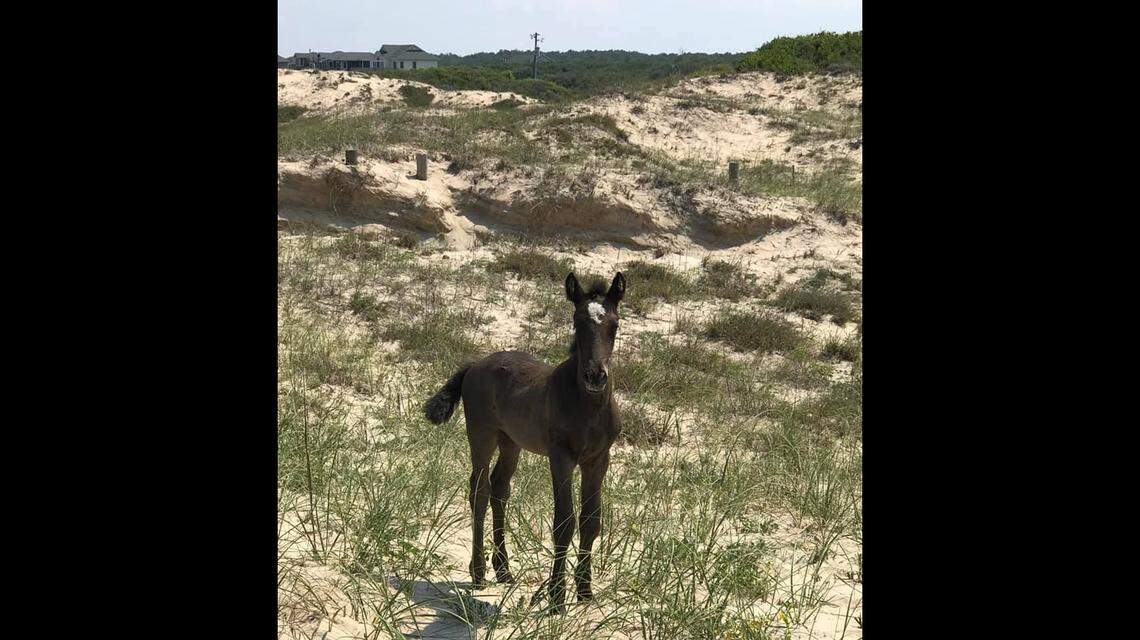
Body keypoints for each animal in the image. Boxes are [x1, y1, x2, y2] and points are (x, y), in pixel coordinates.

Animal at [424, 271, 626, 612]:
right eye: (577, 322)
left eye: (614, 324)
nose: (595, 376)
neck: (588, 405)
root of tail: (474, 365)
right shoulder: (561, 458)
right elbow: (564, 522)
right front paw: (556, 598)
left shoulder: (598, 459)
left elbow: (591, 521)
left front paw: (585, 592)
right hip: (481, 433)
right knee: (480, 490)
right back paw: (479, 572)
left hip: (511, 442)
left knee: (500, 488)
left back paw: (503, 569)